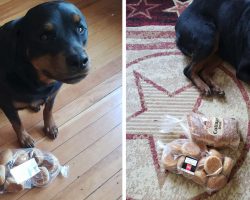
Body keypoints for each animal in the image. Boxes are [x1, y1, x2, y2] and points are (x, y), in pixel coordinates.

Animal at [0, 0, 89, 148]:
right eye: (44, 37)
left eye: (81, 29)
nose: (79, 61)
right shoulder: (7, 105)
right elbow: (16, 122)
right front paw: (24, 138)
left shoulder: (52, 94)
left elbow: (48, 110)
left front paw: (50, 126)